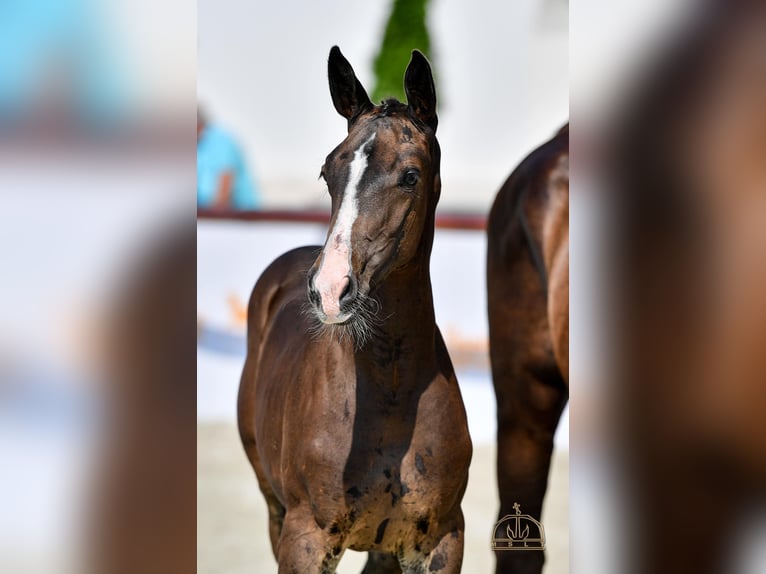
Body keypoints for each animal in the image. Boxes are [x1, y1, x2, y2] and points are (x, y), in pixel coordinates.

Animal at [238, 47, 474, 572]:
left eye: (410, 176)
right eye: (328, 172)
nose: (330, 289)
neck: (390, 392)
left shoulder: (441, 539)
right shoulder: (304, 538)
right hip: (272, 505)